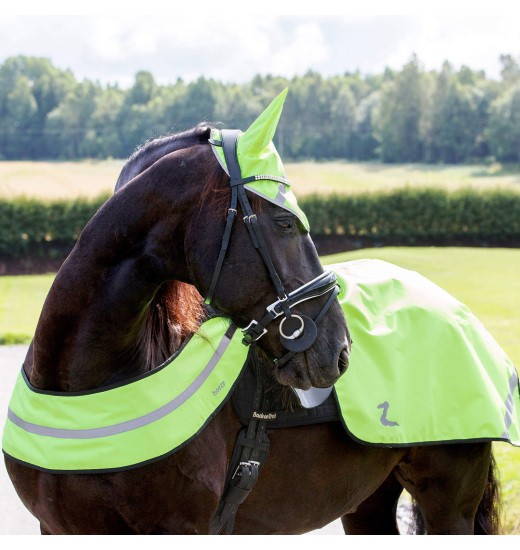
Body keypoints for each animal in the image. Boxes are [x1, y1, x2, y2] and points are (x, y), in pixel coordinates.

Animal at [4, 124, 500, 536]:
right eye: (284, 223)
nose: (339, 350)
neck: (83, 385)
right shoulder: (57, 528)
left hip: (449, 505)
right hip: (367, 504)